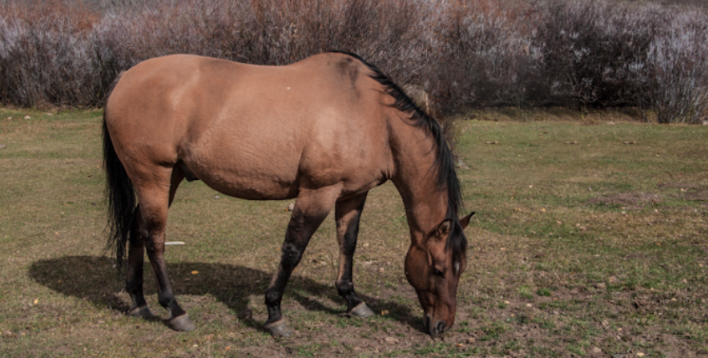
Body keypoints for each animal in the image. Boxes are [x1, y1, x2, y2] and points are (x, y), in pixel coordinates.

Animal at [102, 51, 472, 338]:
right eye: (439, 269)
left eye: (461, 268)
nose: (442, 326)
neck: (372, 115)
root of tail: (125, 77)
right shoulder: (318, 192)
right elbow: (293, 250)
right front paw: (274, 313)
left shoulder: (352, 195)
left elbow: (347, 243)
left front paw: (352, 299)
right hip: (153, 176)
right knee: (154, 240)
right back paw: (175, 309)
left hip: (169, 177)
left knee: (137, 230)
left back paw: (139, 302)